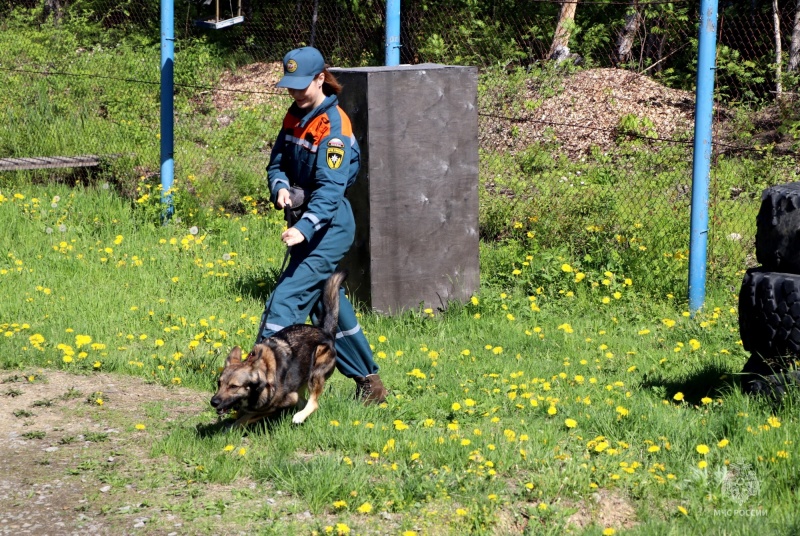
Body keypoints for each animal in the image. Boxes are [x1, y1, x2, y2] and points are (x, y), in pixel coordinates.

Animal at [209, 272, 344, 428]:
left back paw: (300, 416)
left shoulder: (282, 401)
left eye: (233, 386)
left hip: (316, 372)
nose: (213, 402)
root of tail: (325, 331)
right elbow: (245, 415)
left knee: (313, 403)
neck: (263, 377)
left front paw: (233, 426)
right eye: (219, 383)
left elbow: (247, 416)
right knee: (304, 401)